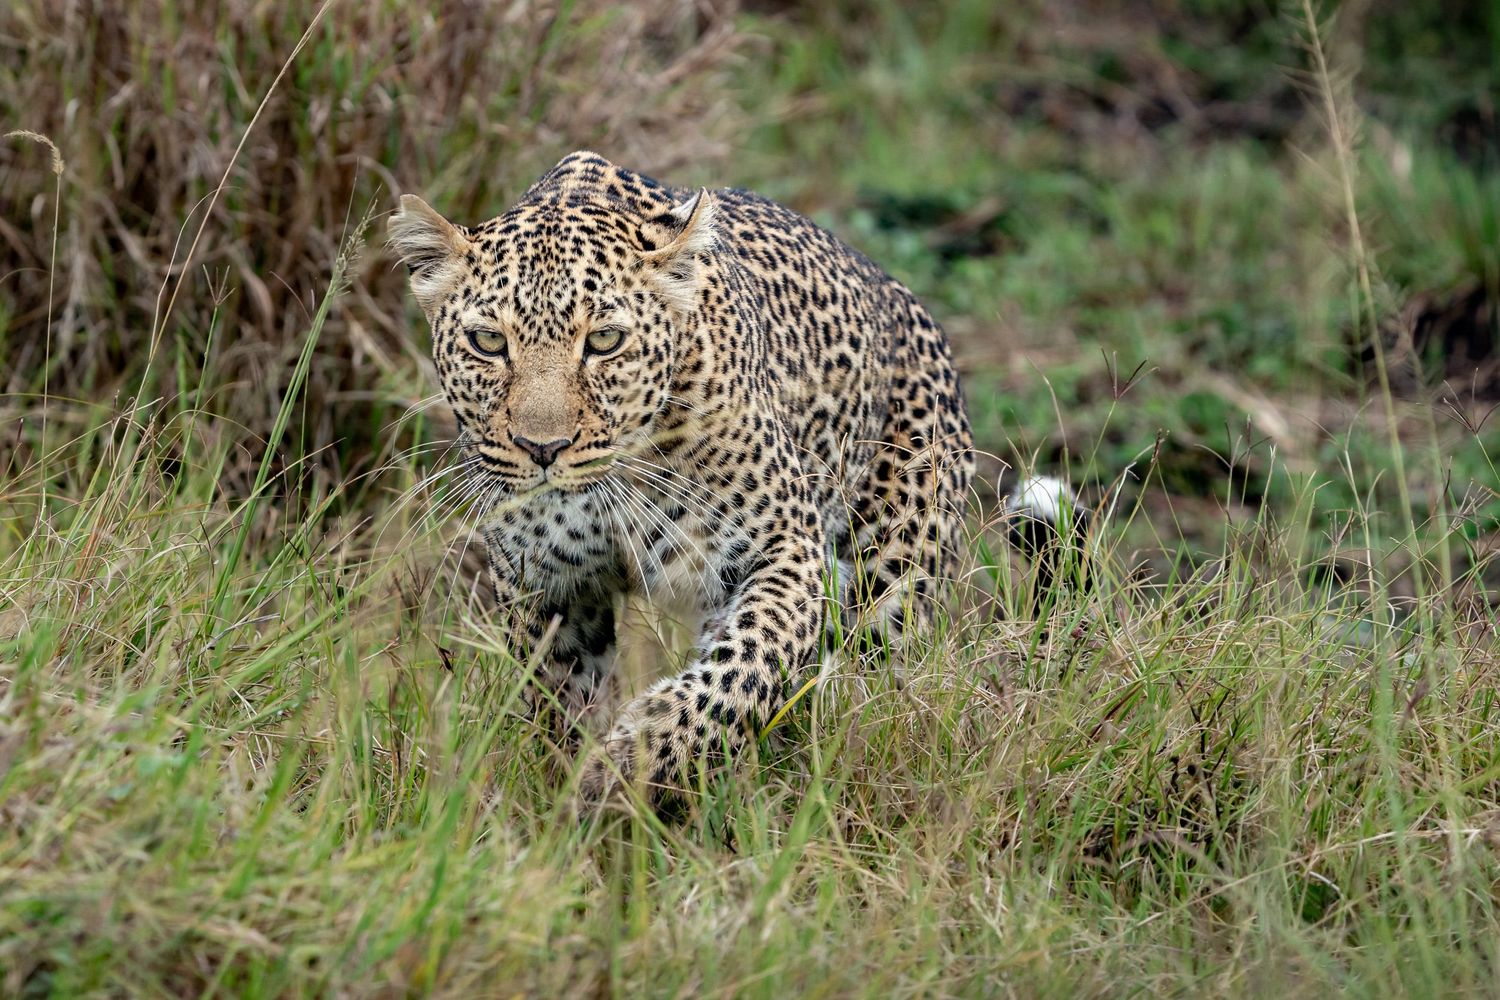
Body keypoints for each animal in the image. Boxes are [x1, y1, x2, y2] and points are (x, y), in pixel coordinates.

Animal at [389, 151, 977, 806]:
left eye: (604, 340)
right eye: (488, 341)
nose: (543, 448)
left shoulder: (785, 548)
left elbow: (746, 666)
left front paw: (630, 758)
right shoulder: (545, 585)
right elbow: (558, 704)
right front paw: (568, 796)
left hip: (895, 585)